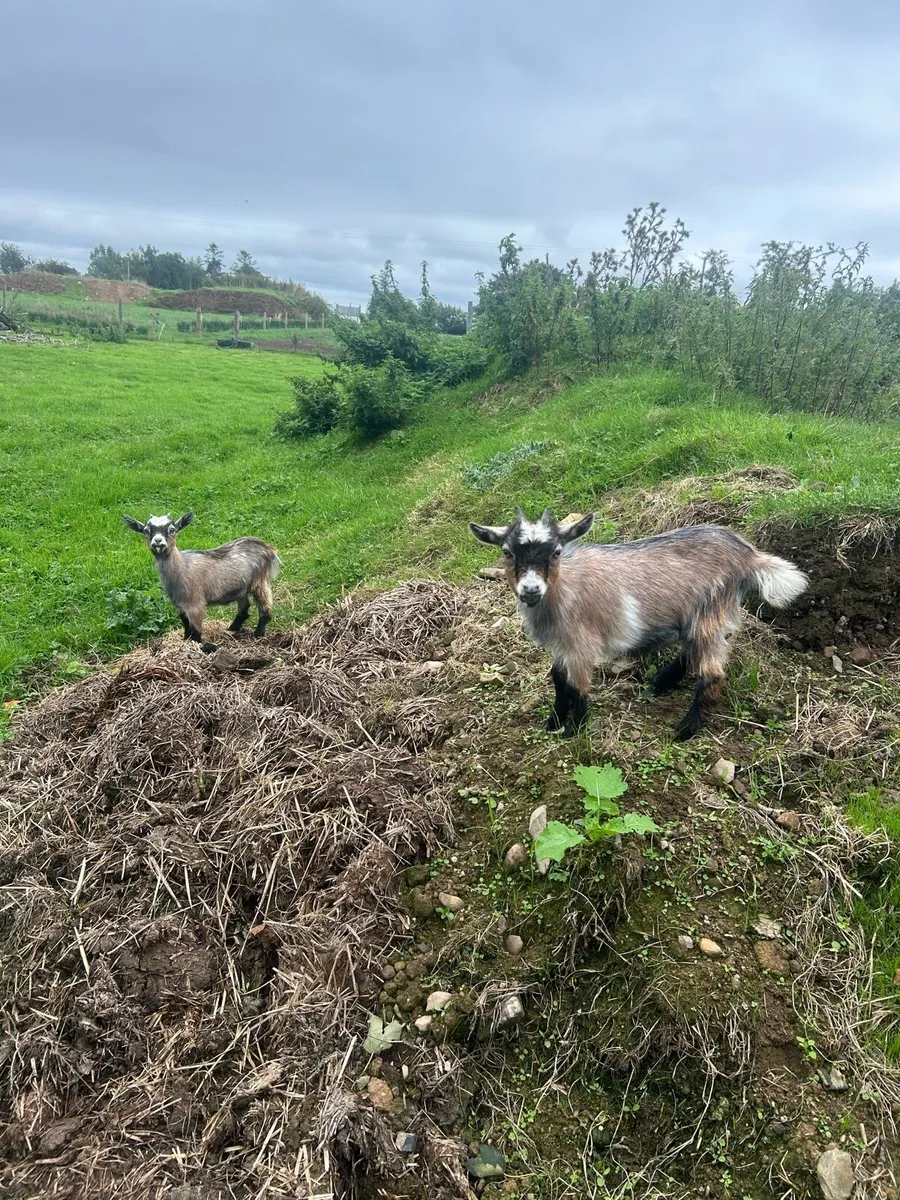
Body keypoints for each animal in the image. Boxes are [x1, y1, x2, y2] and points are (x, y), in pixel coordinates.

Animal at [123, 512, 281, 652]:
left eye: (172, 529)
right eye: (146, 530)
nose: (158, 542)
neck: (183, 567)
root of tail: (268, 548)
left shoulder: (195, 603)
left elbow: (196, 631)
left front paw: (202, 646)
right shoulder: (181, 604)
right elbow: (185, 622)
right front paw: (185, 639)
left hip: (260, 581)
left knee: (265, 608)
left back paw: (258, 634)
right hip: (241, 588)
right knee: (244, 608)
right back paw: (232, 629)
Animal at [469, 507, 808, 741]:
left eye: (556, 552)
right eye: (507, 552)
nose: (530, 590)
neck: (563, 588)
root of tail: (749, 555)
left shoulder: (581, 642)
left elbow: (577, 686)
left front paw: (574, 730)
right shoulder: (560, 644)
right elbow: (557, 678)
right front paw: (553, 722)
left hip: (711, 610)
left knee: (712, 673)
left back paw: (685, 729)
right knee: (691, 651)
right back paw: (661, 683)